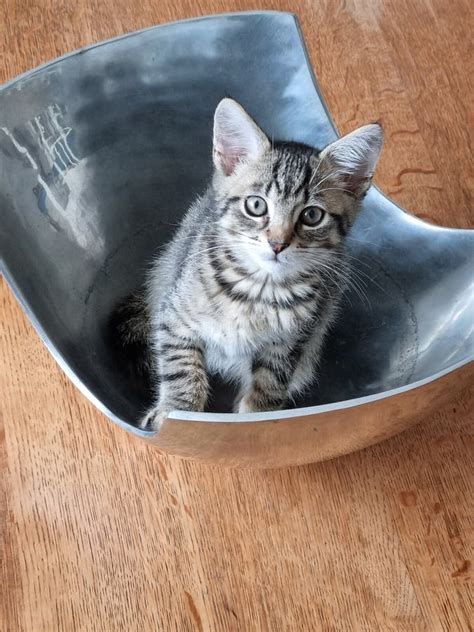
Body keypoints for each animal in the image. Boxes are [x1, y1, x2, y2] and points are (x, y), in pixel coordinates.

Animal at [125, 97, 382, 430]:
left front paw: (255, 421)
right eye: (256, 205)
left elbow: (267, 391)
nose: (278, 243)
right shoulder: (174, 319)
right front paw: (173, 410)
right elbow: (181, 371)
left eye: (312, 215)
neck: (257, 290)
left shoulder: (288, 347)